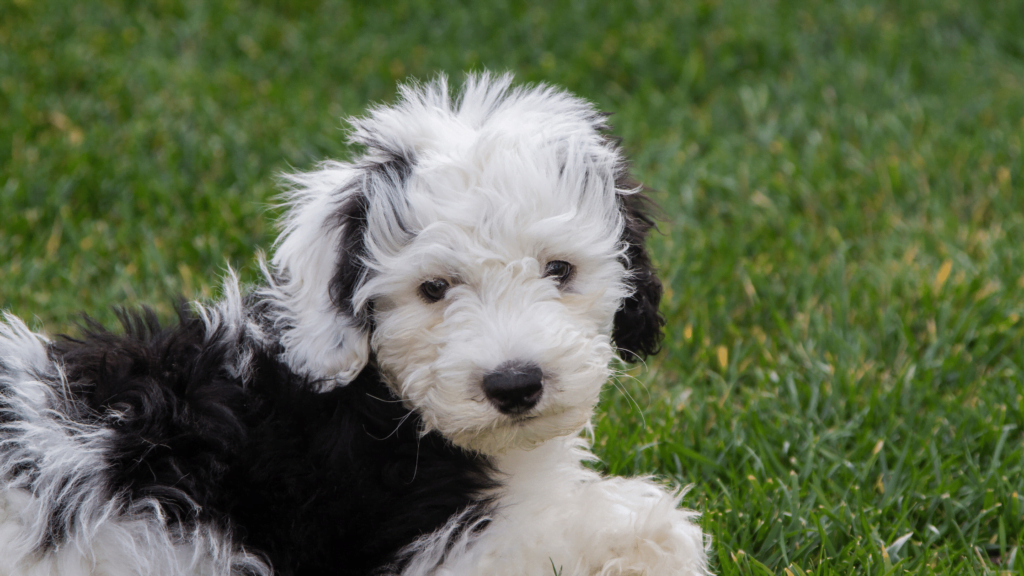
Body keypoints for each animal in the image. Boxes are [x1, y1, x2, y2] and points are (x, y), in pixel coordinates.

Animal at [0, 73, 708, 569]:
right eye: (433, 289)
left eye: (559, 270)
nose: (515, 385)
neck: (386, 401)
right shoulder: (436, 544)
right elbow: (639, 531)